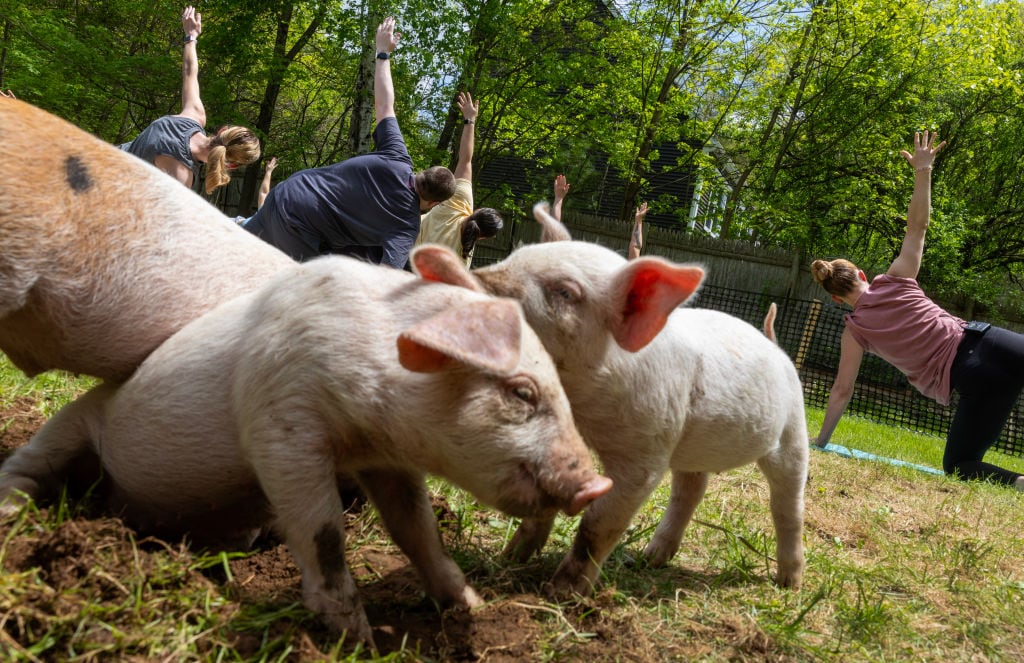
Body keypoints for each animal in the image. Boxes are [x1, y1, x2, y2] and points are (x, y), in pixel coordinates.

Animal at [0, 244, 606, 647]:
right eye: (522, 392)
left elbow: (417, 530)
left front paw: (469, 604)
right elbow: (323, 532)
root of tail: (115, 510)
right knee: (28, 466)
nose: (597, 483)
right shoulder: (281, 426)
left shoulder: (388, 461)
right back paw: (13, 512)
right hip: (74, 420)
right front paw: (358, 641)